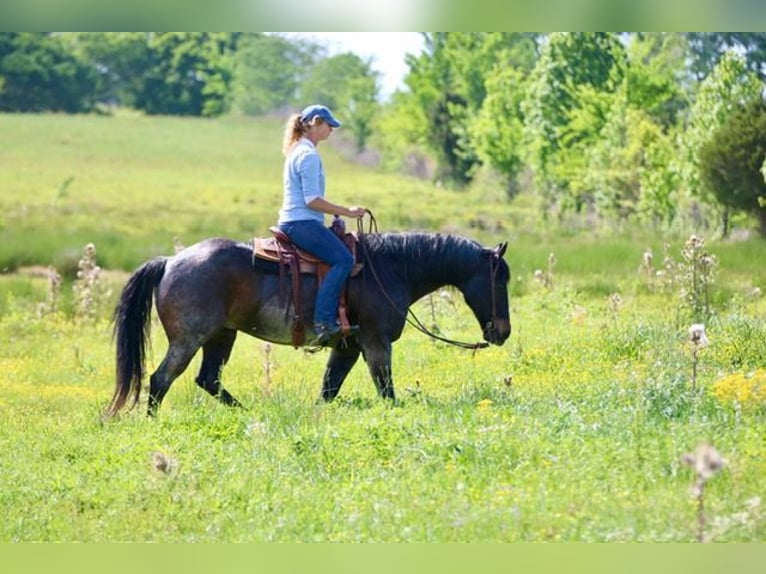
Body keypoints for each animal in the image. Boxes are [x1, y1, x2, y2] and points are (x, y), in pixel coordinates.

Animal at [106, 231, 511, 416]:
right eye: (500, 280)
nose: (502, 332)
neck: (390, 269)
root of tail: (170, 261)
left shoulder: (348, 347)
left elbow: (329, 388)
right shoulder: (376, 342)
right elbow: (386, 388)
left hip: (222, 335)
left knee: (208, 379)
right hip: (189, 338)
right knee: (161, 378)